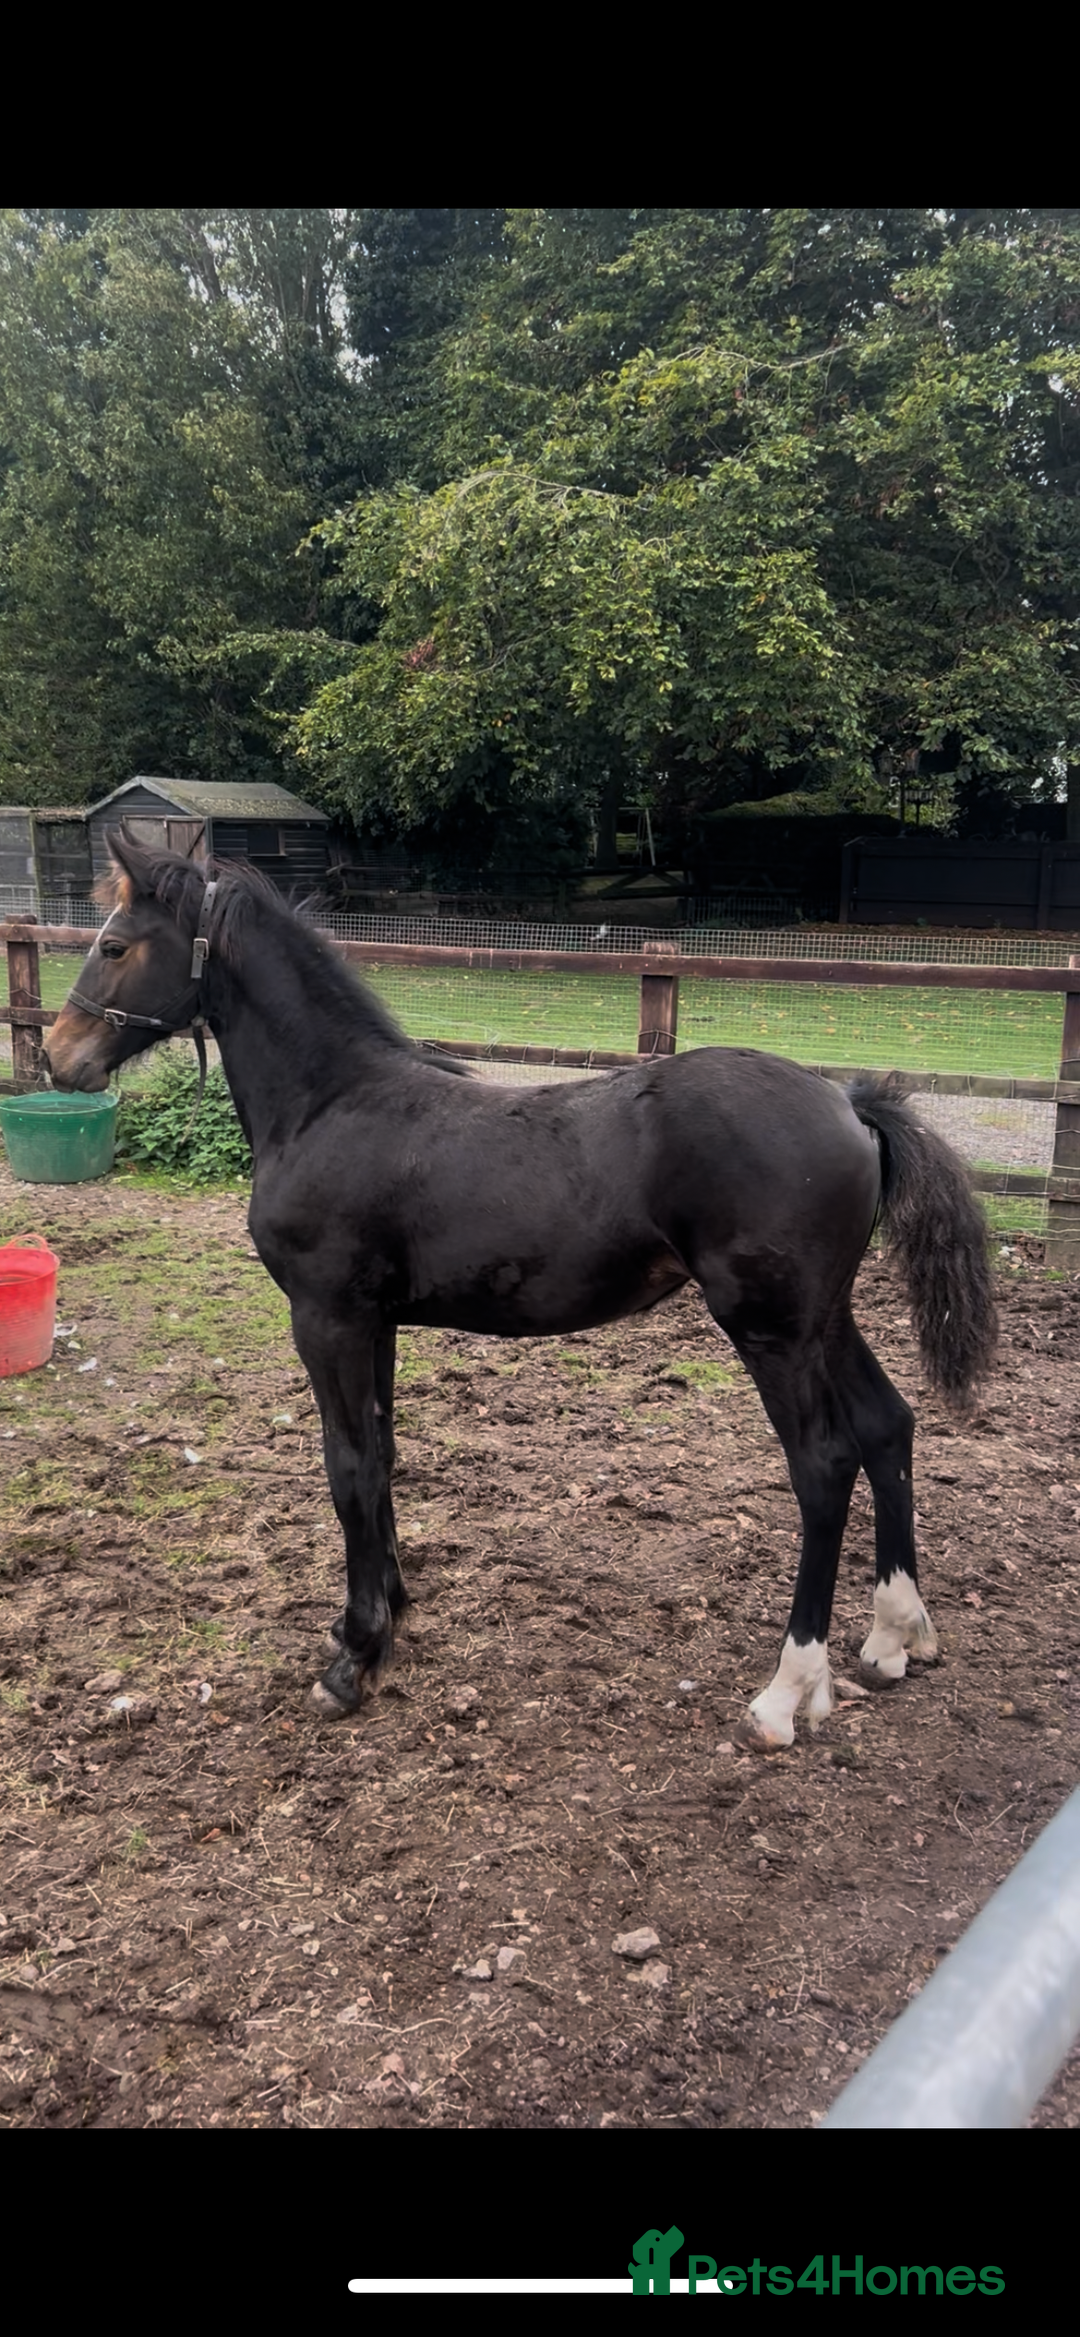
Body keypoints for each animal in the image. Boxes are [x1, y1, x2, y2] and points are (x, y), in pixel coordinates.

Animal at [46, 830, 997, 1750]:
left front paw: (353, 1659)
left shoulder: (327, 1317)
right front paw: (385, 1613)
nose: (58, 1056)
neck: (330, 1104)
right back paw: (896, 1636)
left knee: (824, 1468)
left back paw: (786, 1693)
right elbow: (383, 1455)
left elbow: (347, 1468)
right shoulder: (376, 1323)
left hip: (772, 1330)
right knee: (887, 1425)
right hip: (823, 1317)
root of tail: (850, 1104)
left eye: (115, 944)